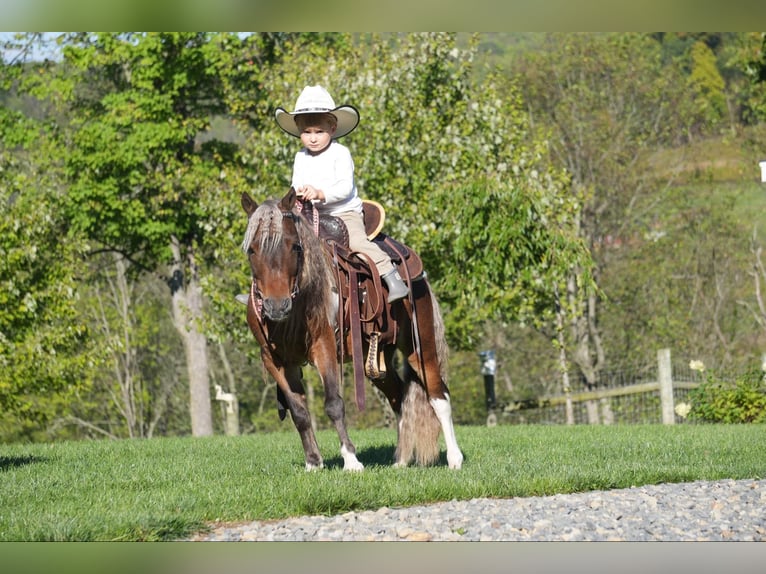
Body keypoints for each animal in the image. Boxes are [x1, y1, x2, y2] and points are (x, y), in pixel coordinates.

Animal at [240, 189, 462, 472]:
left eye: (295, 246)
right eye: (251, 249)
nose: (276, 306)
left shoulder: (324, 347)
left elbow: (334, 404)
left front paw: (351, 460)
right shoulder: (274, 360)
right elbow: (299, 412)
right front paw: (313, 463)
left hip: (420, 346)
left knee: (438, 396)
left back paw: (454, 458)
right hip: (376, 362)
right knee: (399, 399)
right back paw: (401, 460)